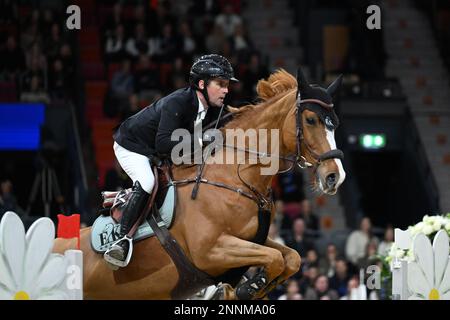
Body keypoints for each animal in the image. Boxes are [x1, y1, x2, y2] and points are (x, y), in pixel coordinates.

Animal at [54, 68, 346, 300]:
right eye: (311, 120)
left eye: (335, 123)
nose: (335, 176)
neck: (234, 175)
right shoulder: (212, 250)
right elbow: (274, 258)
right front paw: (244, 288)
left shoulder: (253, 239)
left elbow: (291, 258)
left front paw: (244, 289)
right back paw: (118, 248)